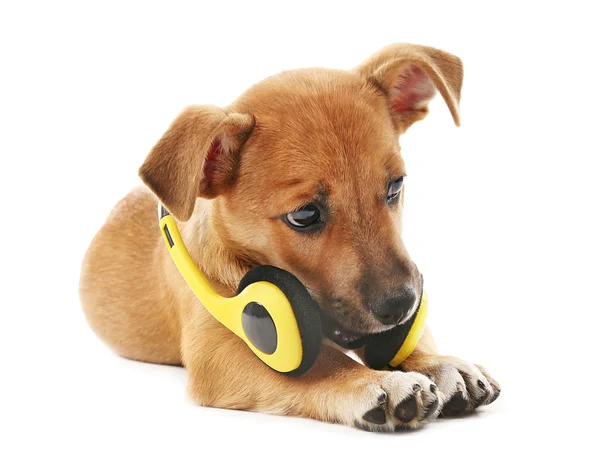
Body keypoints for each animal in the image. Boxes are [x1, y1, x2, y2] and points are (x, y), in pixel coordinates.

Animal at [81, 44, 502, 434]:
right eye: (304, 216)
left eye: (395, 186)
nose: (402, 306)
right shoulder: (219, 350)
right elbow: (319, 365)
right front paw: (375, 382)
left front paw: (440, 364)